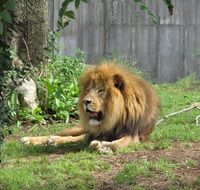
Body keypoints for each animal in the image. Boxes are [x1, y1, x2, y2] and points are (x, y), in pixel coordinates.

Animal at [20, 61, 160, 154]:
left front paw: (104, 146)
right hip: (78, 128)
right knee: (61, 134)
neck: (113, 118)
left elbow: (118, 143)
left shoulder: (134, 134)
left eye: (101, 90)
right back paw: (31, 139)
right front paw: (100, 145)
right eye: (88, 90)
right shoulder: (95, 133)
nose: (85, 101)